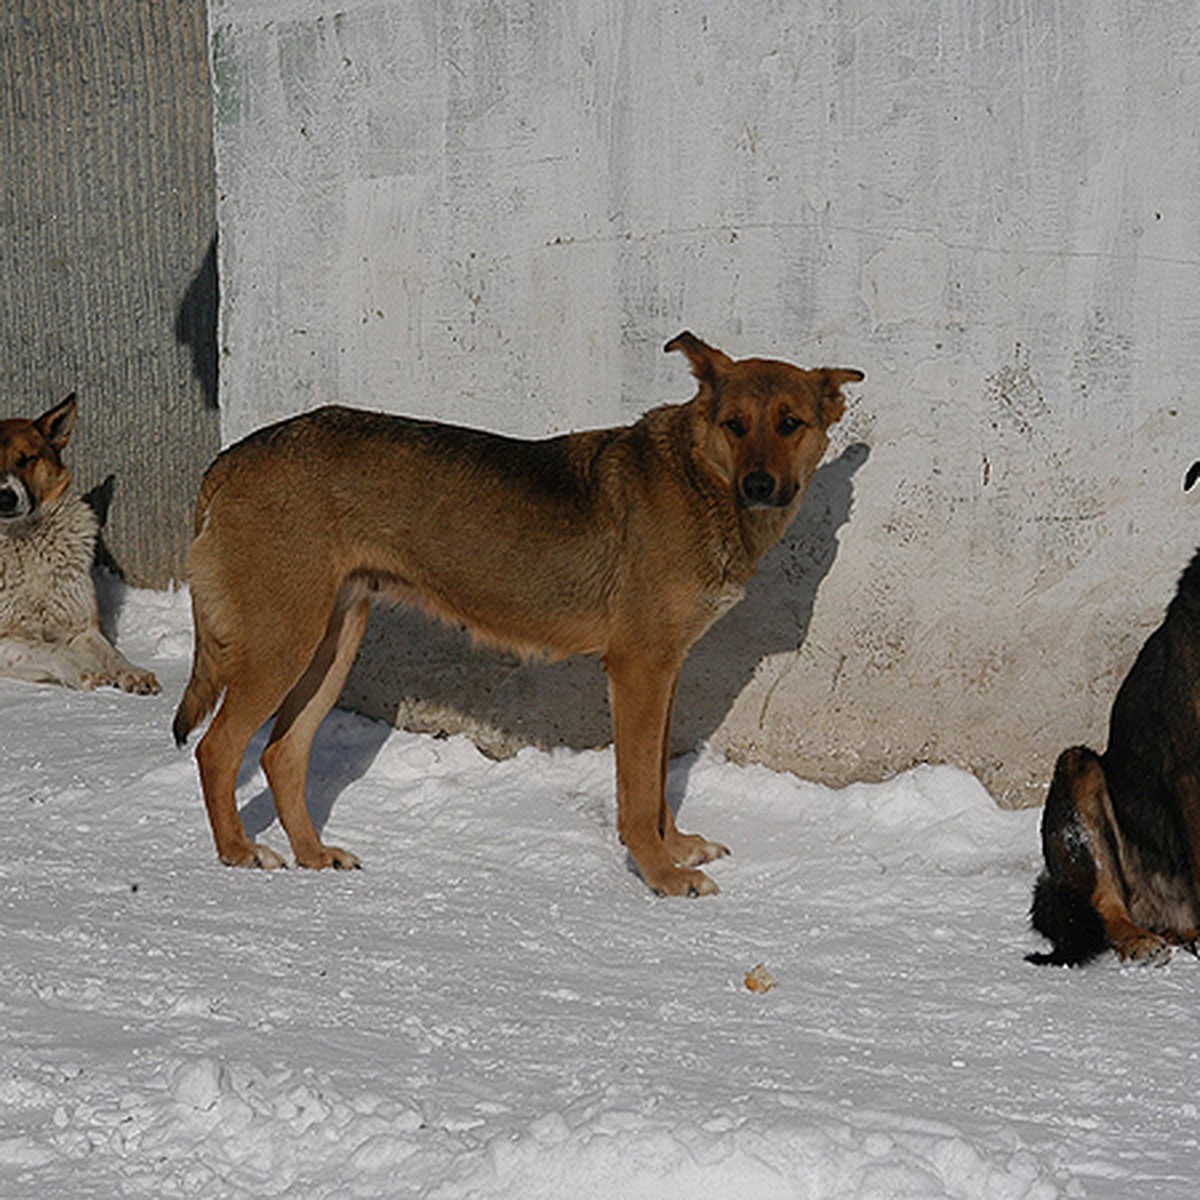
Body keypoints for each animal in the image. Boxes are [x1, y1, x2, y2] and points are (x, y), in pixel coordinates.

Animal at [0, 393, 159, 696]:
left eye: (27, 460)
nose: (5, 498)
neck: (24, 538)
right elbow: (49, 649)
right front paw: (86, 671)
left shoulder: (83, 628)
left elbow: (112, 654)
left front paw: (132, 672)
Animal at [171, 333, 864, 897]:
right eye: (734, 424)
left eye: (791, 423)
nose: (759, 487)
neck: (700, 479)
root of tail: (230, 459)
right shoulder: (639, 669)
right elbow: (638, 793)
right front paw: (661, 873)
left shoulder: (666, 670)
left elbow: (658, 782)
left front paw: (676, 848)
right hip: (282, 643)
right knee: (218, 748)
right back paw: (238, 851)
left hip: (332, 643)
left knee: (281, 754)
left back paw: (314, 854)